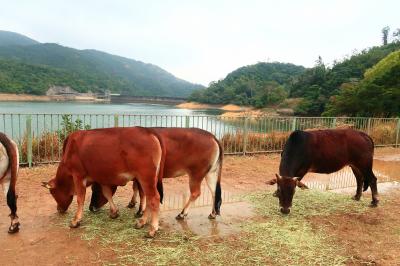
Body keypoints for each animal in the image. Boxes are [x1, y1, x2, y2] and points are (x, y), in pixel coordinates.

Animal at [89, 128, 223, 219]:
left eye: (95, 189)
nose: (91, 207)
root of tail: (212, 136)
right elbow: (135, 189)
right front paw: (132, 203)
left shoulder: (142, 176)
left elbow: (141, 192)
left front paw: (140, 211)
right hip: (211, 172)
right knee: (214, 192)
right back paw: (212, 214)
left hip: (196, 173)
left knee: (196, 193)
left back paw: (182, 213)